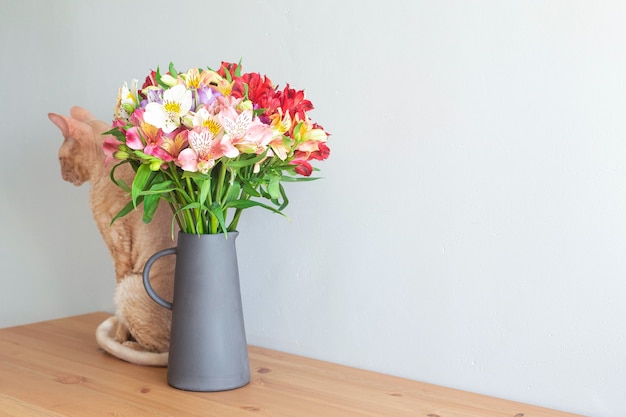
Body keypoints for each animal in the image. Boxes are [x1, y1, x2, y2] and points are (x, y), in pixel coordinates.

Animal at [47, 105, 176, 366]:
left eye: (60, 160)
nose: (62, 175)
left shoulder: (119, 249)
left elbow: (120, 318)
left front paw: (118, 337)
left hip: (130, 286)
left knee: (157, 350)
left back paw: (127, 345)